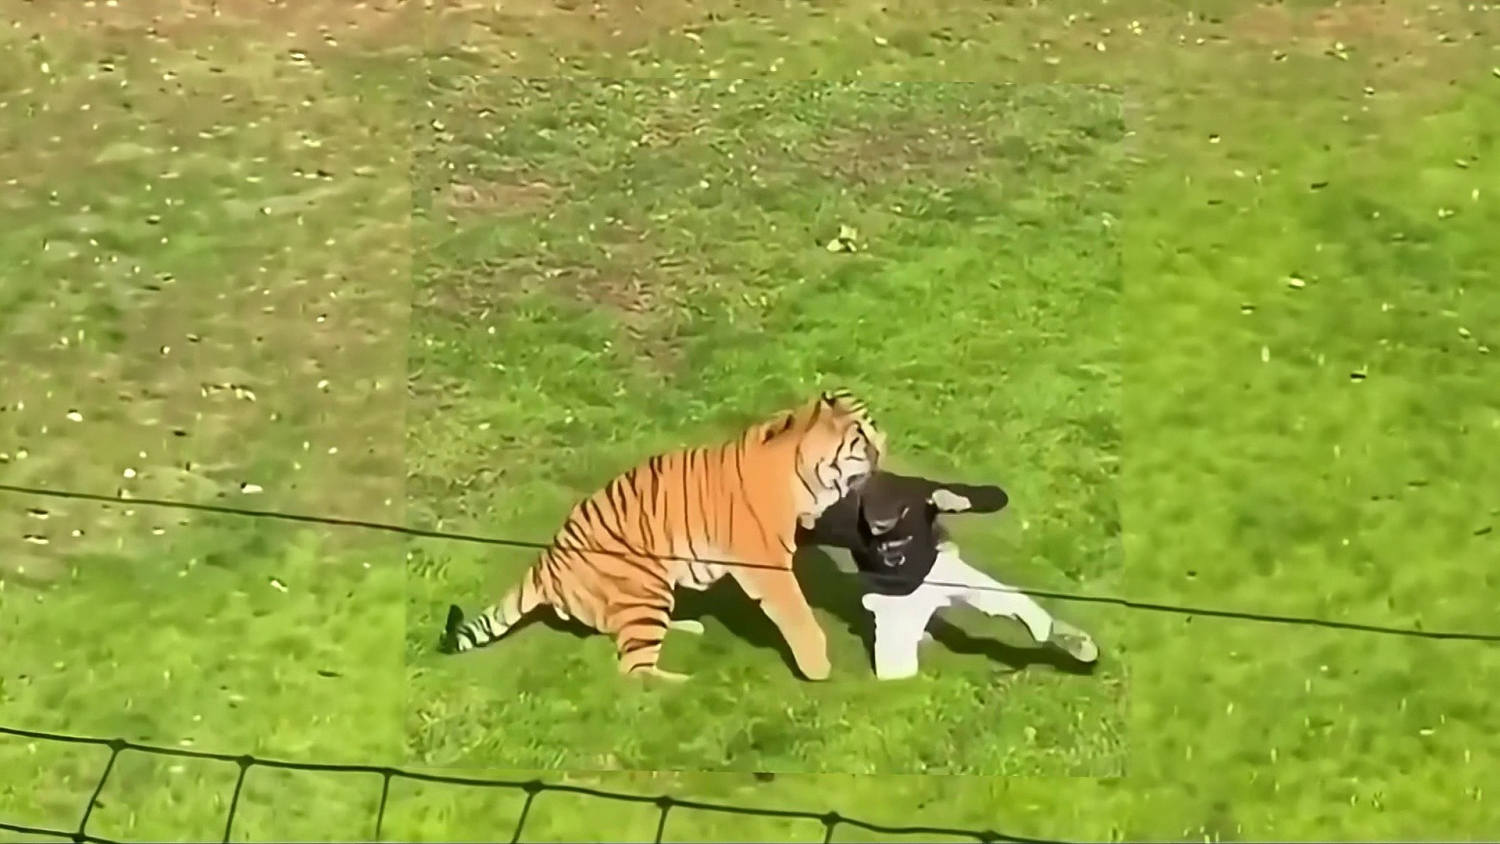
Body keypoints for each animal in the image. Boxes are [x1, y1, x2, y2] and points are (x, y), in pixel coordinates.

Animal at [440, 389, 886, 682]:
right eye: (863, 440)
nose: (884, 448)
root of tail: (545, 561)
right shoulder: (766, 565)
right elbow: (796, 613)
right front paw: (817, 667)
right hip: (644, 585)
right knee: (634, 672)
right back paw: (686, 684)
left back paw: (687, 628)